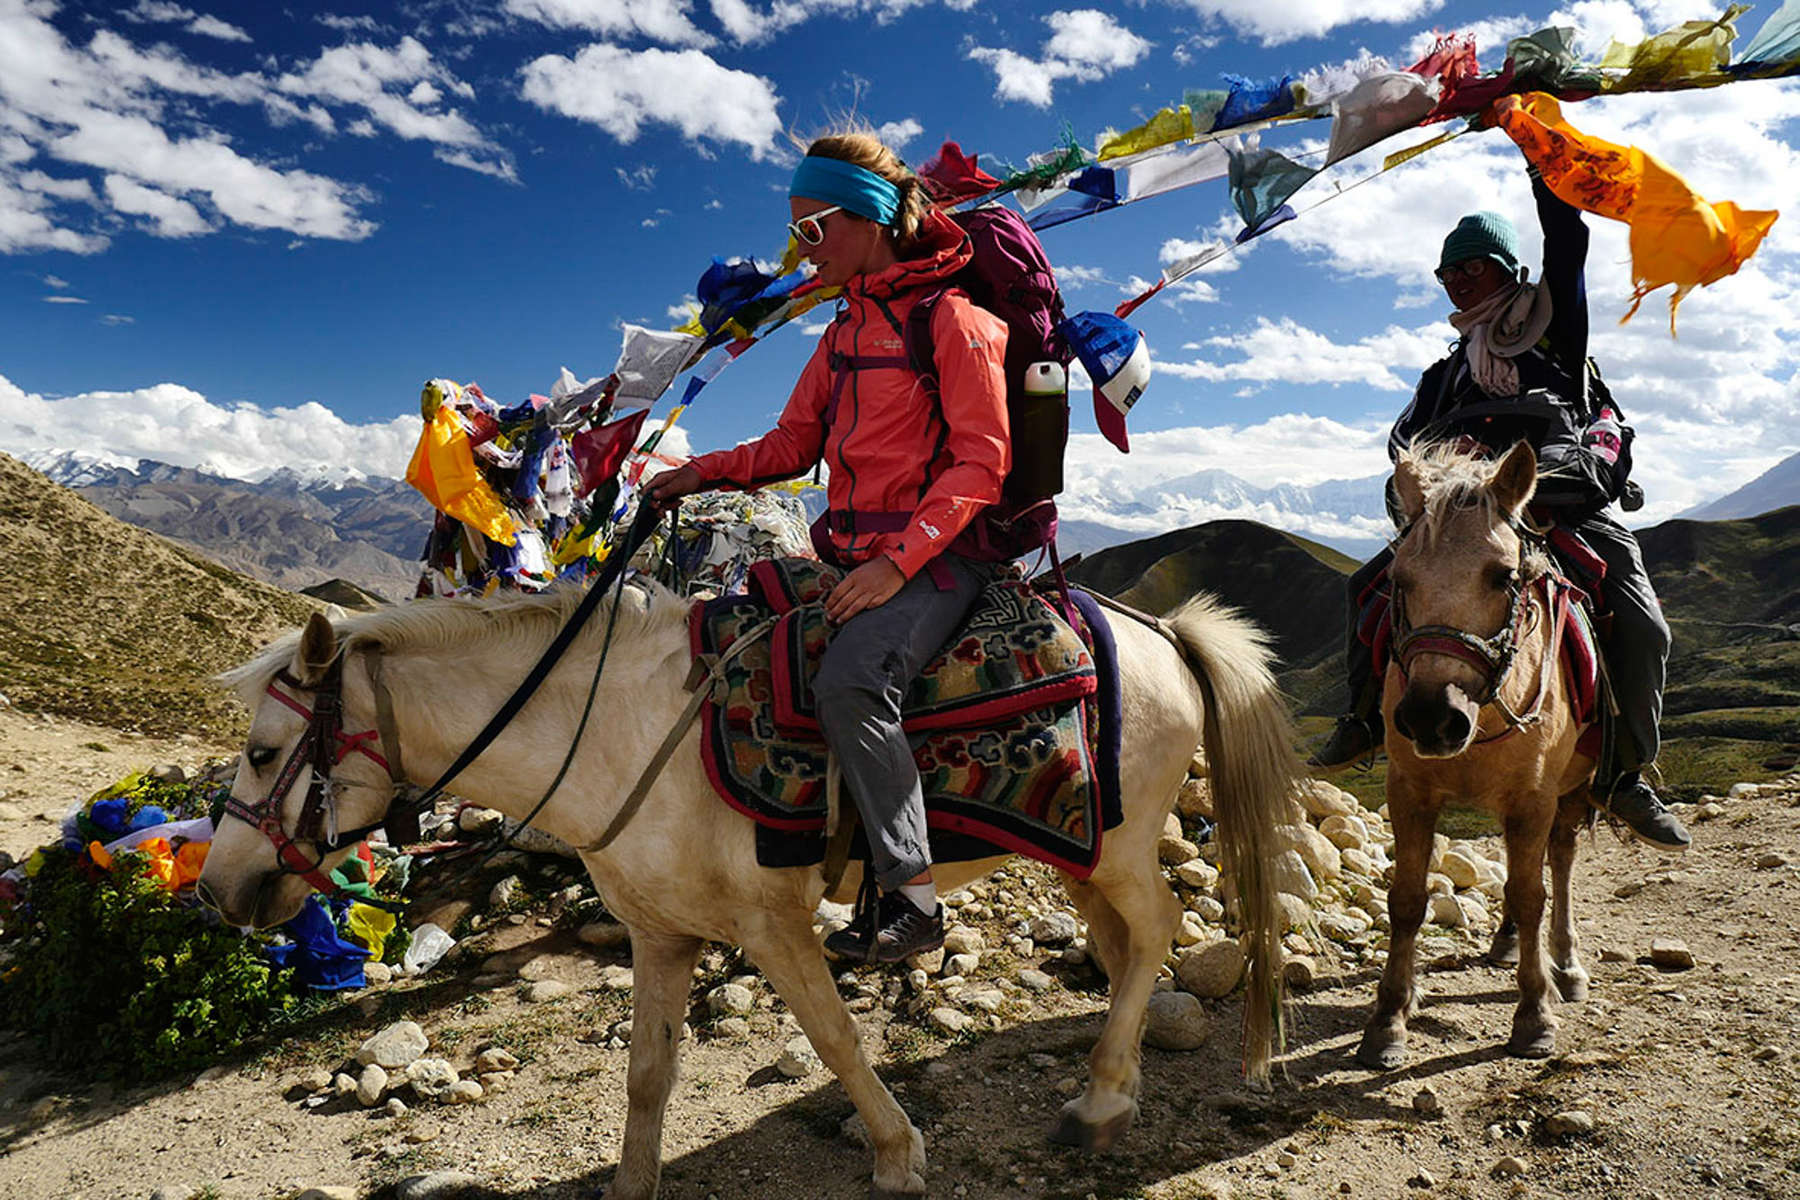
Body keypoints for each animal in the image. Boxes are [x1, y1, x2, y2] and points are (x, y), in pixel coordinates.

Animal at [197, 575, 1296, 1194]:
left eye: (261, 753)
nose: (219, 890)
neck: (618, 732)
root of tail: (1161, 630)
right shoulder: (658, 934)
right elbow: (648, 1074)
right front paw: (630, 1187)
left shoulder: (775, 927)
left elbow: (837, 1040)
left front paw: (898, 1154)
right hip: (1075, 853)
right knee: (1122, 945)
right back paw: (1122, 1079)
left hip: (1119, 847)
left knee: (1160, 926)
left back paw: (1102, 1100)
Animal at [1353, 444, 1598, 1072]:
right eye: (1399, 579)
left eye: (1503, 576)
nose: (1432, 719)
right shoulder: (1408, 791)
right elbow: (1407, 899)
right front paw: (1388, 1018)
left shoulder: (1534, 798)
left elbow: (1533, 896)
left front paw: (1534, 1015)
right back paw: (1506, 943)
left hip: (1571, 791)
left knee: (1558, 866)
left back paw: (1566, 966)